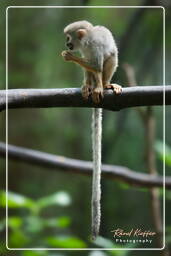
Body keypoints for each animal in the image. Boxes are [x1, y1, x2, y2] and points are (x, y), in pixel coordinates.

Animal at [61, 20, 121, 240]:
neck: (85, 40)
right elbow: (90, 66)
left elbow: (96, 64)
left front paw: (71, 57)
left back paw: (103, 85)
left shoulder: (93, 45)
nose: (68, 45)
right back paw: (89, 86)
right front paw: (87, 83)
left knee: (108, 59)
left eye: (68, 38)